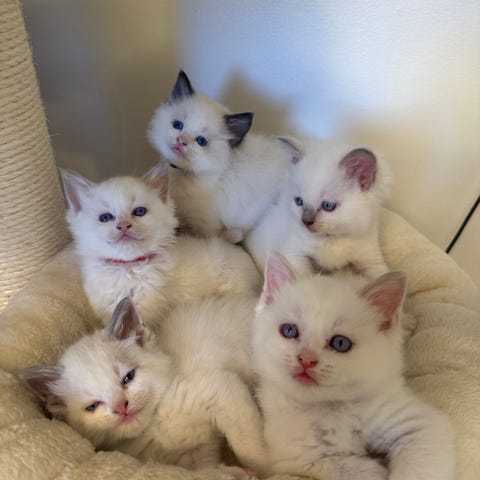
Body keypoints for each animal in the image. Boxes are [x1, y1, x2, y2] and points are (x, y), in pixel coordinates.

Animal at [19, 295, 269, 475]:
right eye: (92, 406)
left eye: (128, 377)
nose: (121, 407)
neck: (154, 423)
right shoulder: (194, 454)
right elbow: (207, 471)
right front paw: (236, 473)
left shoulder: (220, 388)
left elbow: (250, 446)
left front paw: (268, 467)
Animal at [61, 166, 262, 328]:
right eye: (105, 218)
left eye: (139, 212)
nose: (124, 226)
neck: (129, 269)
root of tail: (227, 244)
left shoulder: (149, 316)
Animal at [245, 136, 392, 279]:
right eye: (299, 201)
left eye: (328, 206)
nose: (306, 222)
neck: (331, 239)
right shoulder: (294, 253)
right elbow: (302, 277)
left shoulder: (370, 260)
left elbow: (382, 275)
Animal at [252, 252, 455, 480]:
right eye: (288, 330)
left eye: (341, 343)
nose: (306, 359)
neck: (331, 407)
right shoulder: (298, 458)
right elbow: (354, 469)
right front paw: (375, 469)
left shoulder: (419, 426)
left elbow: (418, 467)